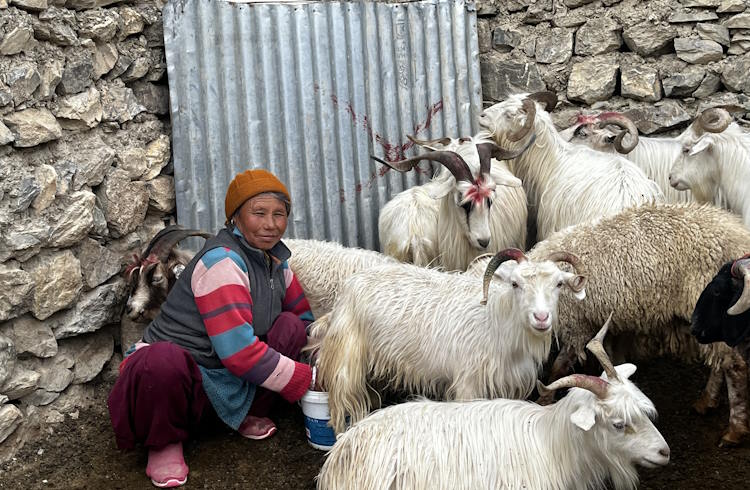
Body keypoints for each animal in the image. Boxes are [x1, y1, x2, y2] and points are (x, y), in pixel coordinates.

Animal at [316, 249, 588, 432]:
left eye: (559, 284)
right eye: (515, 284)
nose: (541, 318)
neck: (496, 321)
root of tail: (349, 284)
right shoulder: (469, 385)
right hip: (345, 358)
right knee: (340, 403)